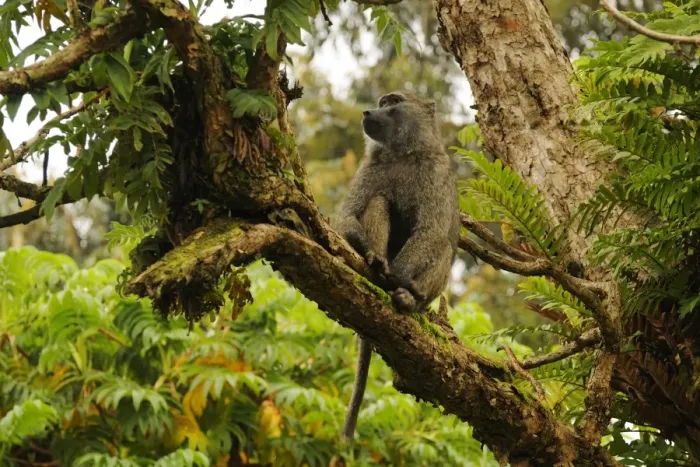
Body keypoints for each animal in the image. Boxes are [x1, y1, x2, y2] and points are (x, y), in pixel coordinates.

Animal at [333, 91, 460, 441]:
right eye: (382, 102)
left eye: (393, 104)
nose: (368, 112)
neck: (404, 153)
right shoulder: (369, 169)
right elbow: (346, 216)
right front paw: (364, 248)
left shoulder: (437, 173)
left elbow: (431, 232)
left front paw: (400, 282)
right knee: (378, 201)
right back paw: (376, 261)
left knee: (443, 245)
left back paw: (410, 299)